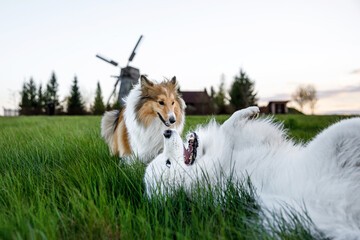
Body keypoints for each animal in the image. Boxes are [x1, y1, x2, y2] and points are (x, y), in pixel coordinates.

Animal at [145, 107, 360, 240]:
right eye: (168, 163)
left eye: (164, 159)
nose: (166, 132)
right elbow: (227, 130)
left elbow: (228, 123)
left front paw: (249, 111)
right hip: (339, 132)